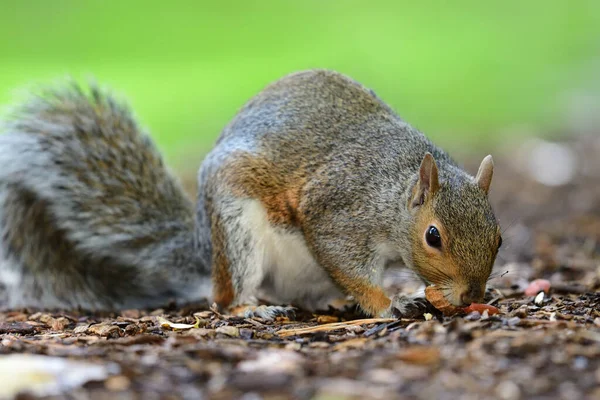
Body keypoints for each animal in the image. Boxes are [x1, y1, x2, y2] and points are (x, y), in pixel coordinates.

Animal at [0, 69, 500, 318]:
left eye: (499, 238)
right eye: (433, 236)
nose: (473, 294)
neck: (395, 188)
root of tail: (206, 247)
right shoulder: (338, 210)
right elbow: (346, 262)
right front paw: (388, 303)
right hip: (237, 227)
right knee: (224, 300)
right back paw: (250, 310)